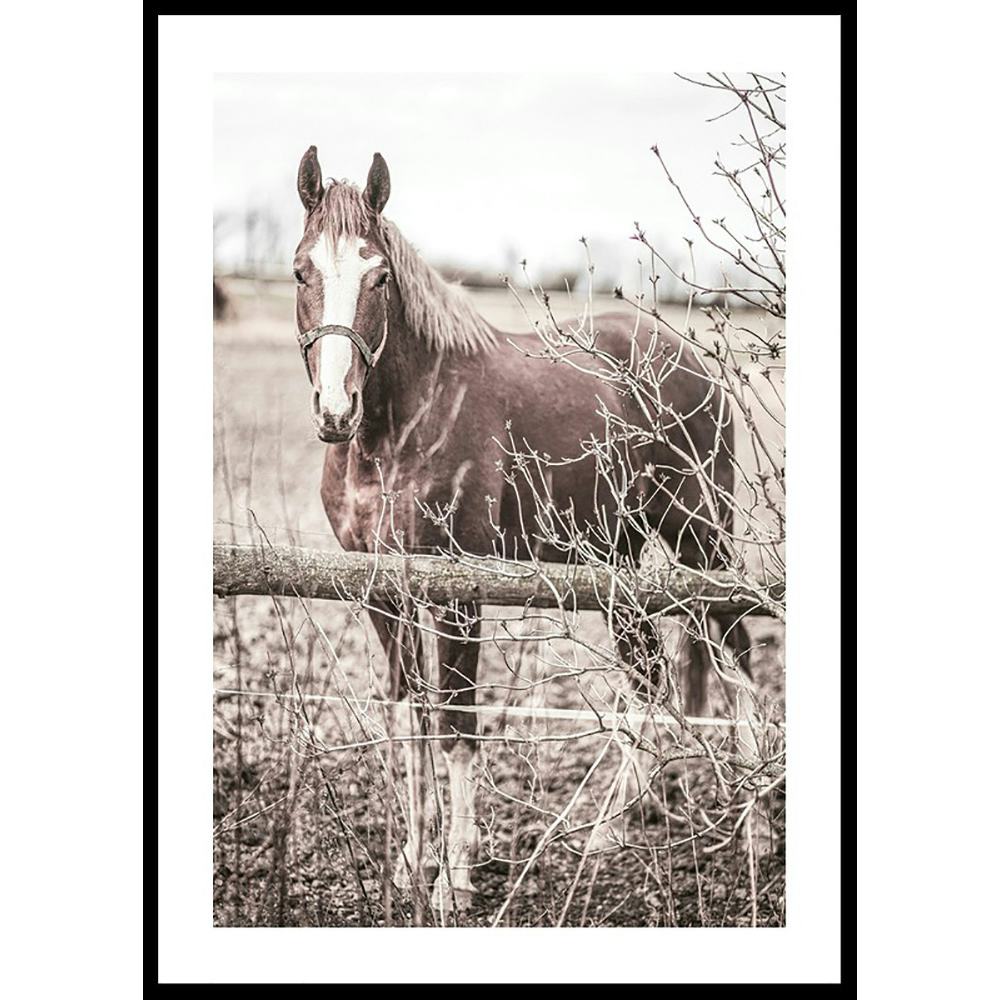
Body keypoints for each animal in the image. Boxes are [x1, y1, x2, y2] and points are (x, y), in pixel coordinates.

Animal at [291, 146, 751, 911]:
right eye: (302, 270)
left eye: (378, 275)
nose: (336, 408)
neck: (400, 427)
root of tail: (687, 358)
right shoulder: (380, 592)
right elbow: (409, 720)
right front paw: (411, 862)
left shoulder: (458, 593)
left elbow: (456, 726)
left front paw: (455, 876)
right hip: (618, 562)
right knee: (650, 679)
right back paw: (610, 831)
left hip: (701, 539)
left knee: (737, 656)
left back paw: (755, 829)